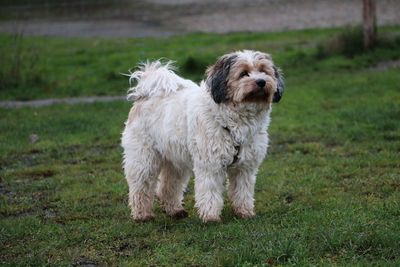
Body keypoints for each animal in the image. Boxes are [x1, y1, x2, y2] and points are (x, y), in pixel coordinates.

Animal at [122, 50, 284, 224]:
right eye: (243, 73)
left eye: (264, 71)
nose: (261, 81)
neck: (232, 119)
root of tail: (145, 94)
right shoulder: (210, 164)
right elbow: (210, 190)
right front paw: (211, 217)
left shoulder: (245, 167)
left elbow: (243, 191)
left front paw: (244, 212)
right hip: (144, 157)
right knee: (141, 186)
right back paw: (142, 214)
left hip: (175, 159)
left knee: (168, 186)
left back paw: (175, 210)